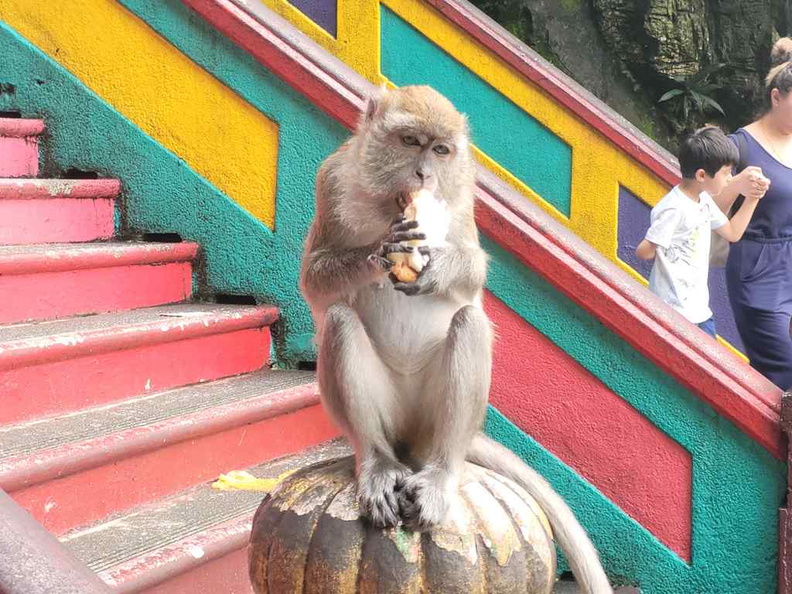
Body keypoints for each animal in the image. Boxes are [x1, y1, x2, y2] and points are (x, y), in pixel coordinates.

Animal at [298, 84, 612, 592]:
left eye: (441, 151)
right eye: (410, 141)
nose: (424, 173)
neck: (389, 203)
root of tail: (412, 441)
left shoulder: (462, 194)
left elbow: (473, 275)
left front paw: (438, 264)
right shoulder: (331, 179)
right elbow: (315, 280)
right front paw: (380, 250)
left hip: (431, 422)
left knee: (469, 323)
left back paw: (441, 472)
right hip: (391, 416)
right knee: (341, 321)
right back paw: (377, 463)